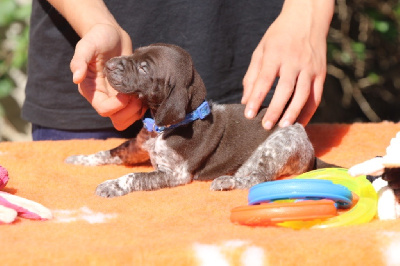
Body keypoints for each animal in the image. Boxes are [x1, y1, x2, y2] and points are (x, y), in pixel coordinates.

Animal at [66, 43, 332, 197]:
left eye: (143, 68)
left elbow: (135, 177)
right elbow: (109, 152)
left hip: (274, 147)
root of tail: (309, 147)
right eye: (134, 53)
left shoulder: (175, 173)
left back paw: (227, 182)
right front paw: (80, 158)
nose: (109, 64)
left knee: (257, 178)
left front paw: (112, 185)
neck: (161, 128)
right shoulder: (137, 147)